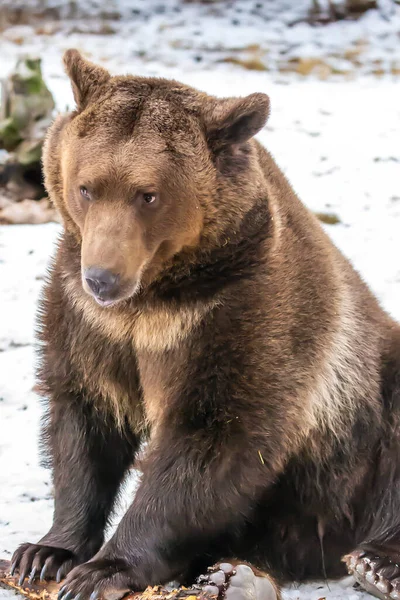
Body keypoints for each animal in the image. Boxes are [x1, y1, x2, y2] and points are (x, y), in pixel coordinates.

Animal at [8, 49, 400, 600]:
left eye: (147, 194)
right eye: (86, 187)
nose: (103, 277)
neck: (154, 301)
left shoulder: (241, 315)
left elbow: (213, 438)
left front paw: (102, 570)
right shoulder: (87, 319)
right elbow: (82, 420)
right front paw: (46, 553)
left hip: (354, 453)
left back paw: (376, 563)